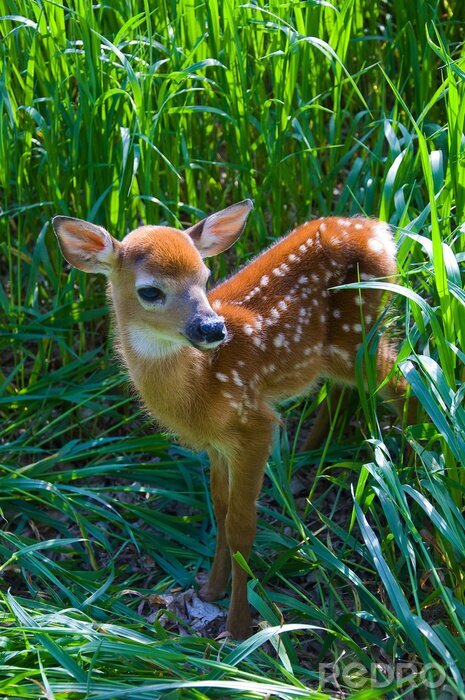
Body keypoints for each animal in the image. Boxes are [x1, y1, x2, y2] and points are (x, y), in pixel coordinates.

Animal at [52, 200, 411, 639]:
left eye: (205, 278)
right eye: (150, 291)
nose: (212, 328)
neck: (202, 387)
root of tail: (377, 230)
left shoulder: (254, 424)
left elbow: (241, 525)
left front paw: (239, 626)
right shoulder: (218, 444)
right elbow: (220, 512)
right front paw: (210, 591)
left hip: (358, 331)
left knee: (404, 383)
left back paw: (411, 463)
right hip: (341, 349)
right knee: (349, 390)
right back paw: (310, 458)